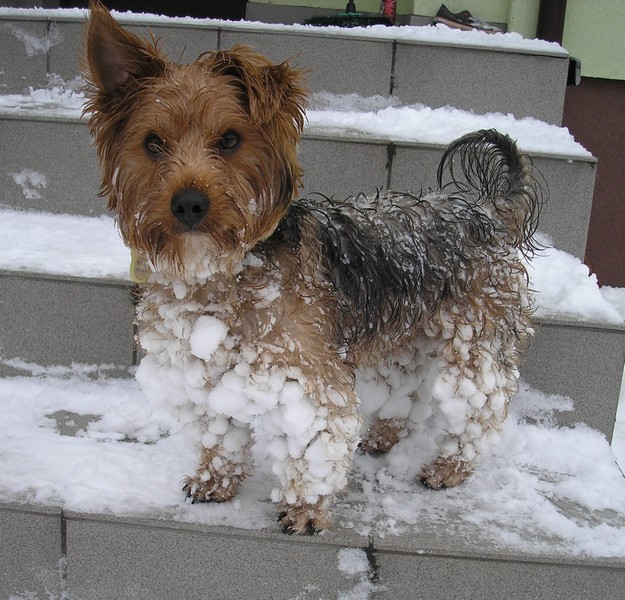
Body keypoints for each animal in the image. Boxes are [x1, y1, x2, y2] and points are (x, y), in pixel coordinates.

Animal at [83, 1, 540, 536]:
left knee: (482, 407)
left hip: (477, 338)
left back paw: (450, 467)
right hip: (402, 336)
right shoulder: (206, 373)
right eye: (152, 143)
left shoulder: (307, 374)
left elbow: (315, 443)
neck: (222, 268)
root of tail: (487, 208)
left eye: (230, 139)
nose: (189, 204)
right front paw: (215, 481)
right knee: (405, 391)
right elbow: (219, 433)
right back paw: (383, 437)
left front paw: (305, 509)